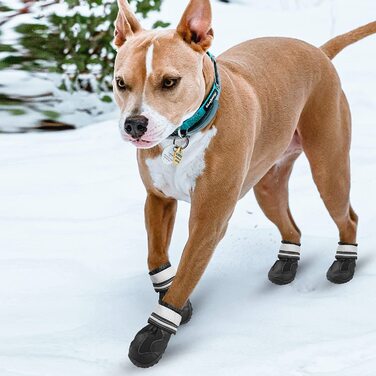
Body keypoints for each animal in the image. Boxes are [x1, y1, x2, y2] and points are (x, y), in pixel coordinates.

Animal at [111, 0, 376, 368]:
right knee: (291, 226)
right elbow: (156, 257)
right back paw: (286, 263)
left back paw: (344, 264)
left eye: (169, 82)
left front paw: (155, 334)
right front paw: (175, 298)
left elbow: (186, 274)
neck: (184, 135)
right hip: (268, 184)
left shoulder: (208, 222)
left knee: (347, 217)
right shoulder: (158, 199)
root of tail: (319, 51)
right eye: (121, 83)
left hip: (329, 169)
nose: (135, 124)